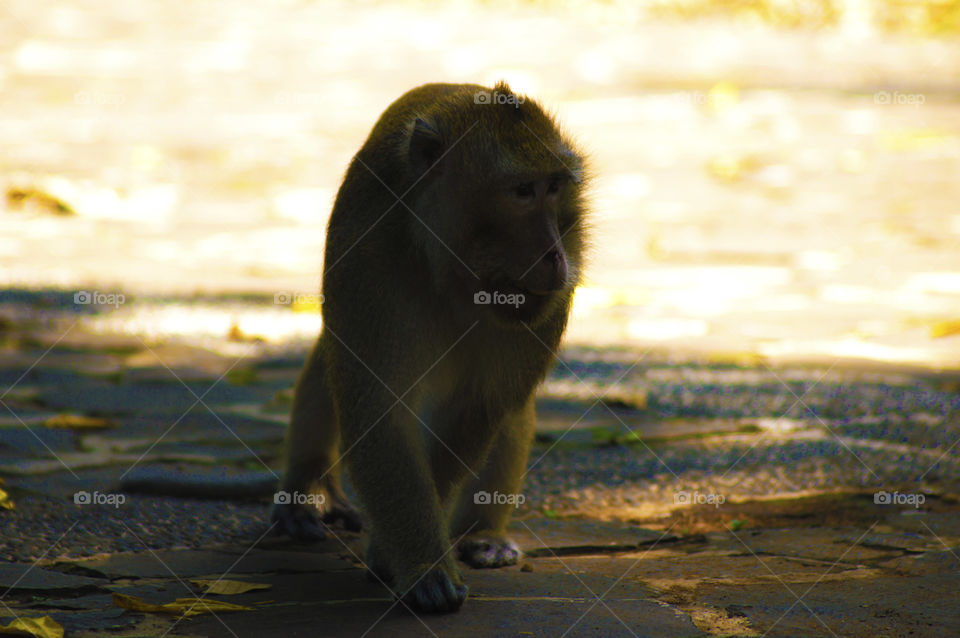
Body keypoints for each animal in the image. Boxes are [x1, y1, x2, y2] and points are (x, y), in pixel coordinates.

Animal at [271, 81, 587, 613]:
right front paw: (422, 566)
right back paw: (308, 486)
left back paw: (482, 535)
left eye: (556, 187)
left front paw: (399, 556)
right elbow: (377, 404)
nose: (554, 255)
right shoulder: (369, 256)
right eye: (523, 192)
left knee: (511, 408)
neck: (453, 269)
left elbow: (478, 407)